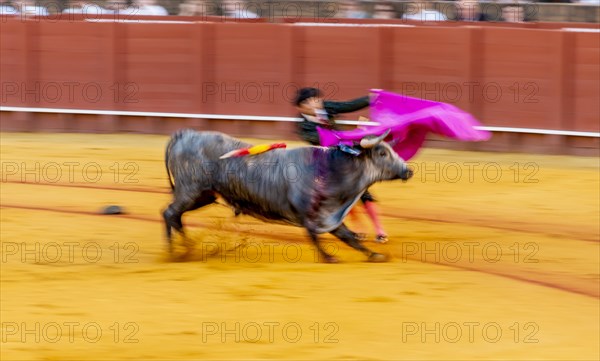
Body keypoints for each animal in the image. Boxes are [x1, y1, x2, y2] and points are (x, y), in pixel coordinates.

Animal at [162, 129, 410, 262]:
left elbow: (348, 237)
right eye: (382, 152)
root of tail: (184, 134)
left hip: (204, 195)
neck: (332, 169)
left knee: (173, 215)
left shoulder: (330, 215)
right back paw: (179, 251)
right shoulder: (311, 215)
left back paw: (182, 249)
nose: (408, 171)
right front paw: (329, 257)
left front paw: (375, 255)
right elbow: (315, 236)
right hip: (190, 191)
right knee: (170, 213)